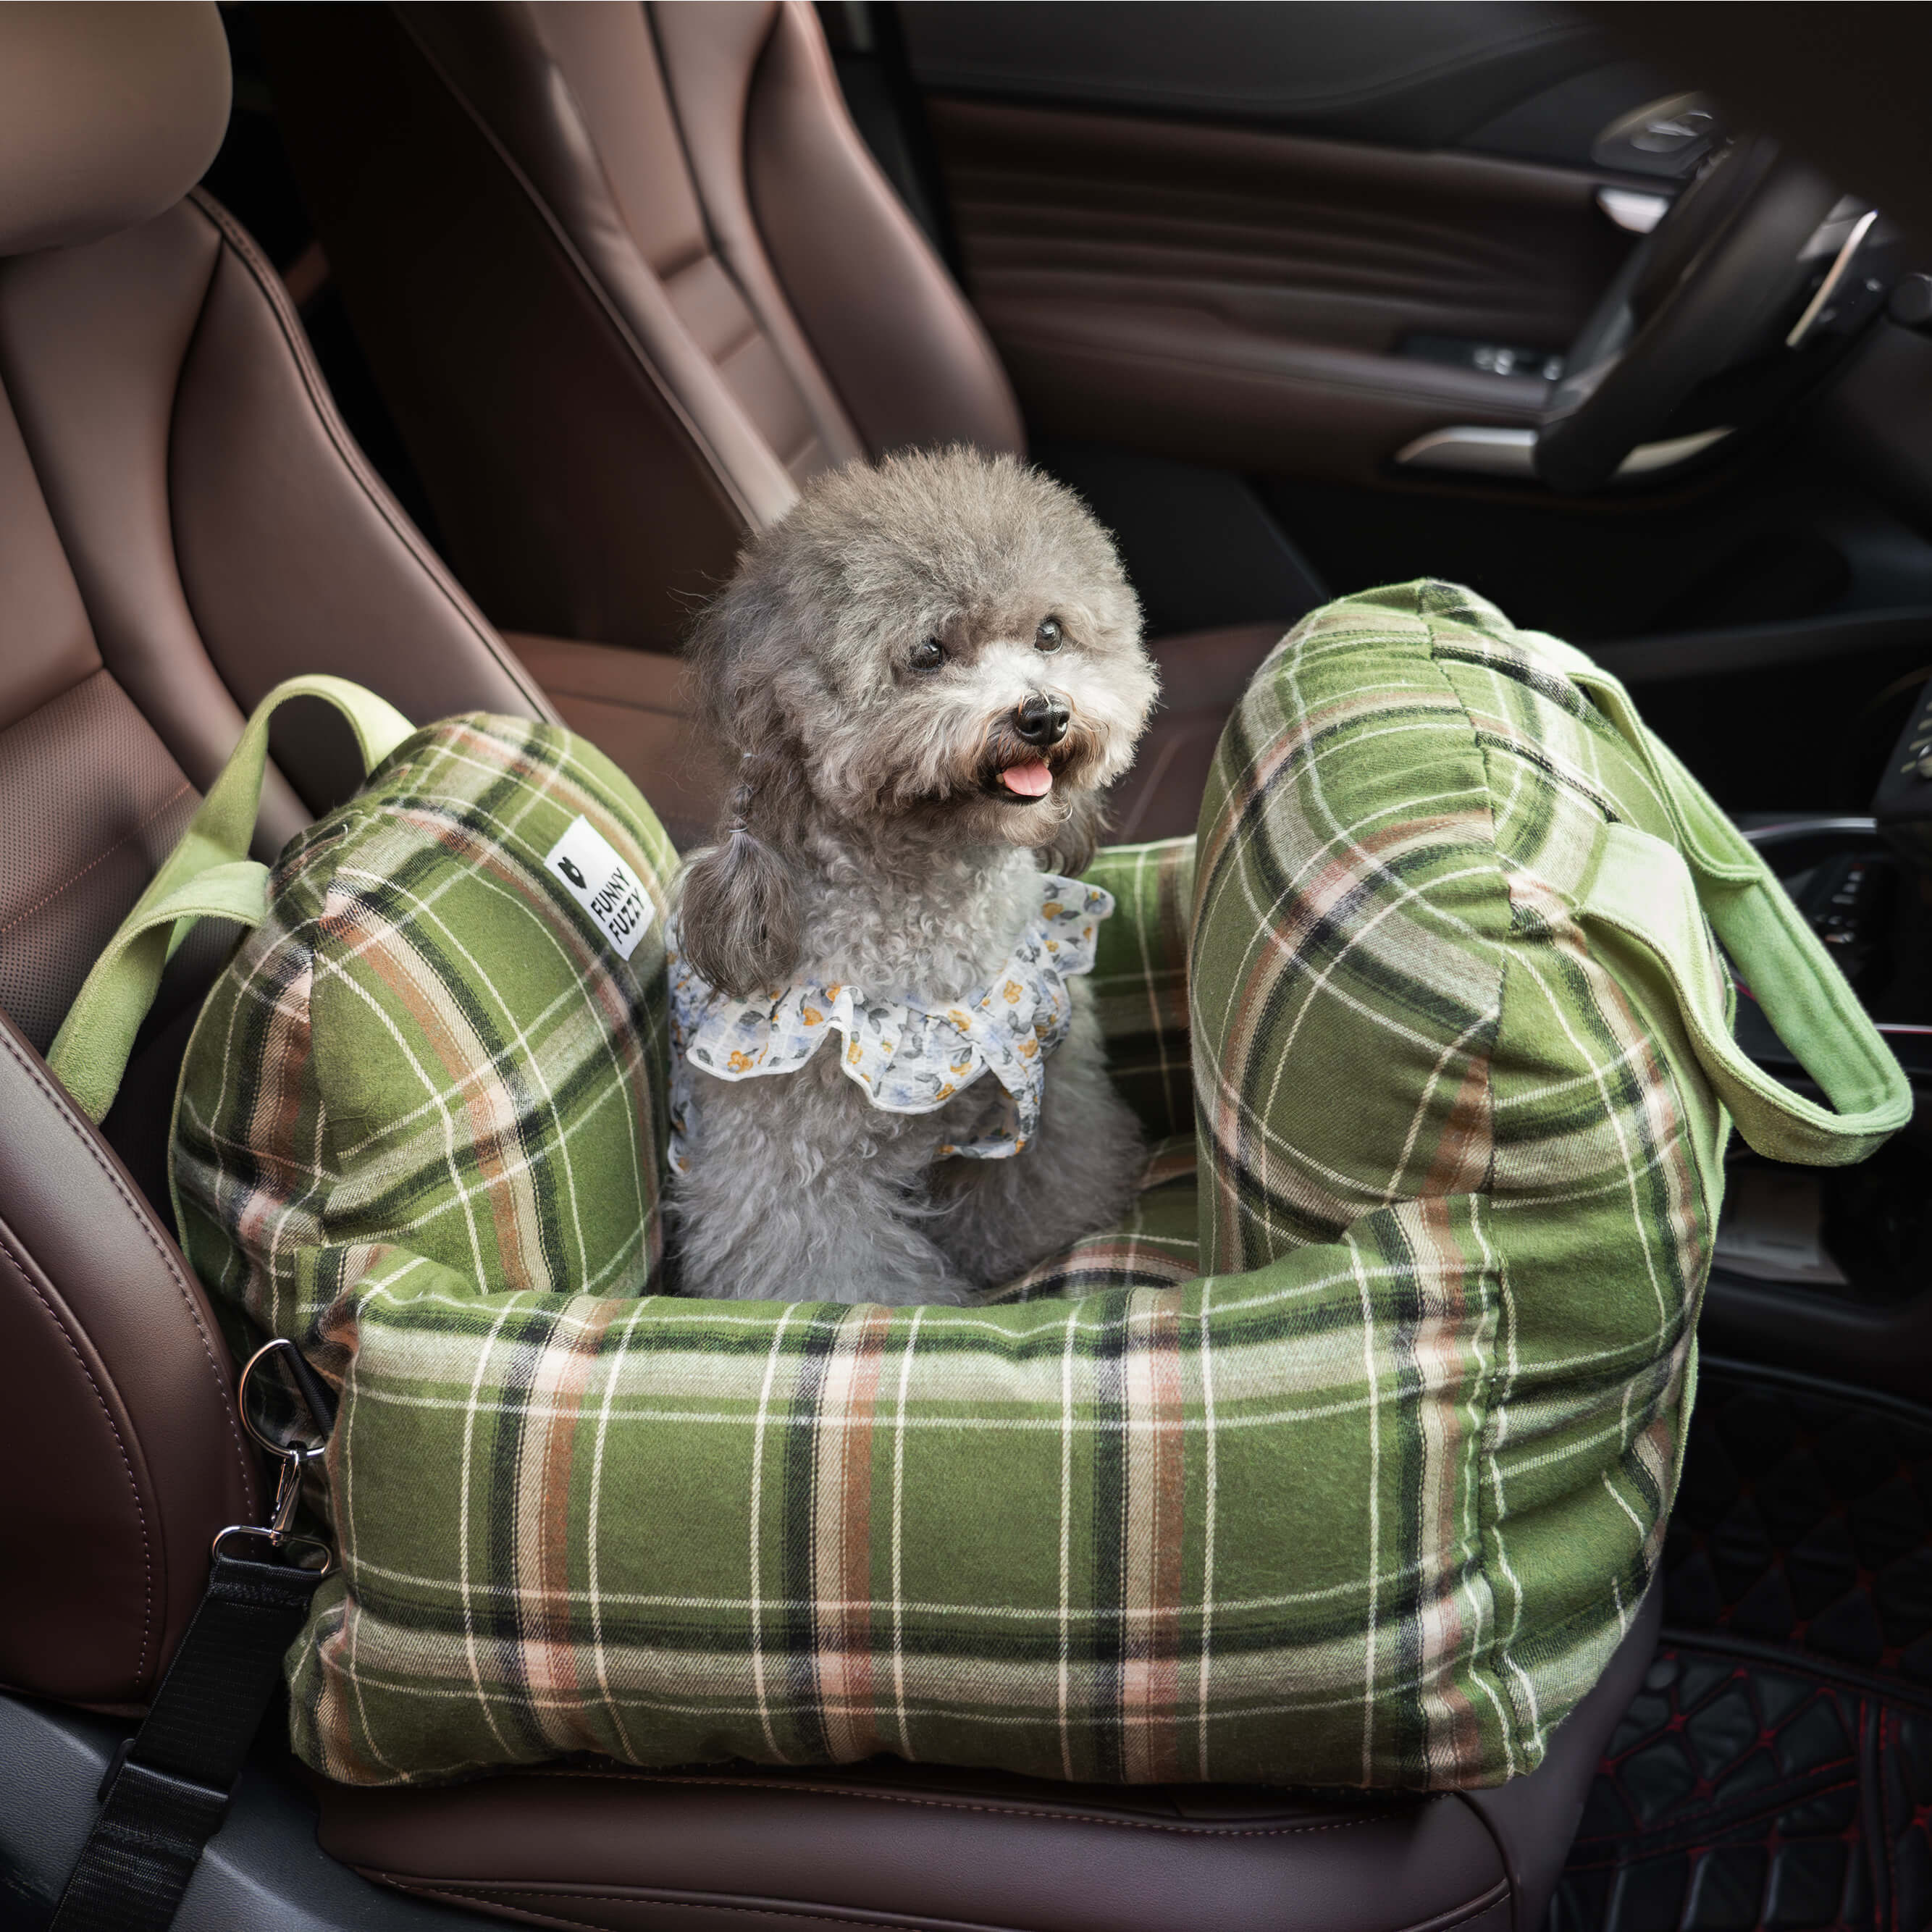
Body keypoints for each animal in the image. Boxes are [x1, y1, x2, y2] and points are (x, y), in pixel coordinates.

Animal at [664, 444, 1151, 1306]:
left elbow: (1043, 1181)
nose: (1043, 715)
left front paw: (1039, 1240)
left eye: (1050, 633)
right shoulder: (788, 1169)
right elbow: (828, 1272)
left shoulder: (1046, 1098)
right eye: (927, 652)